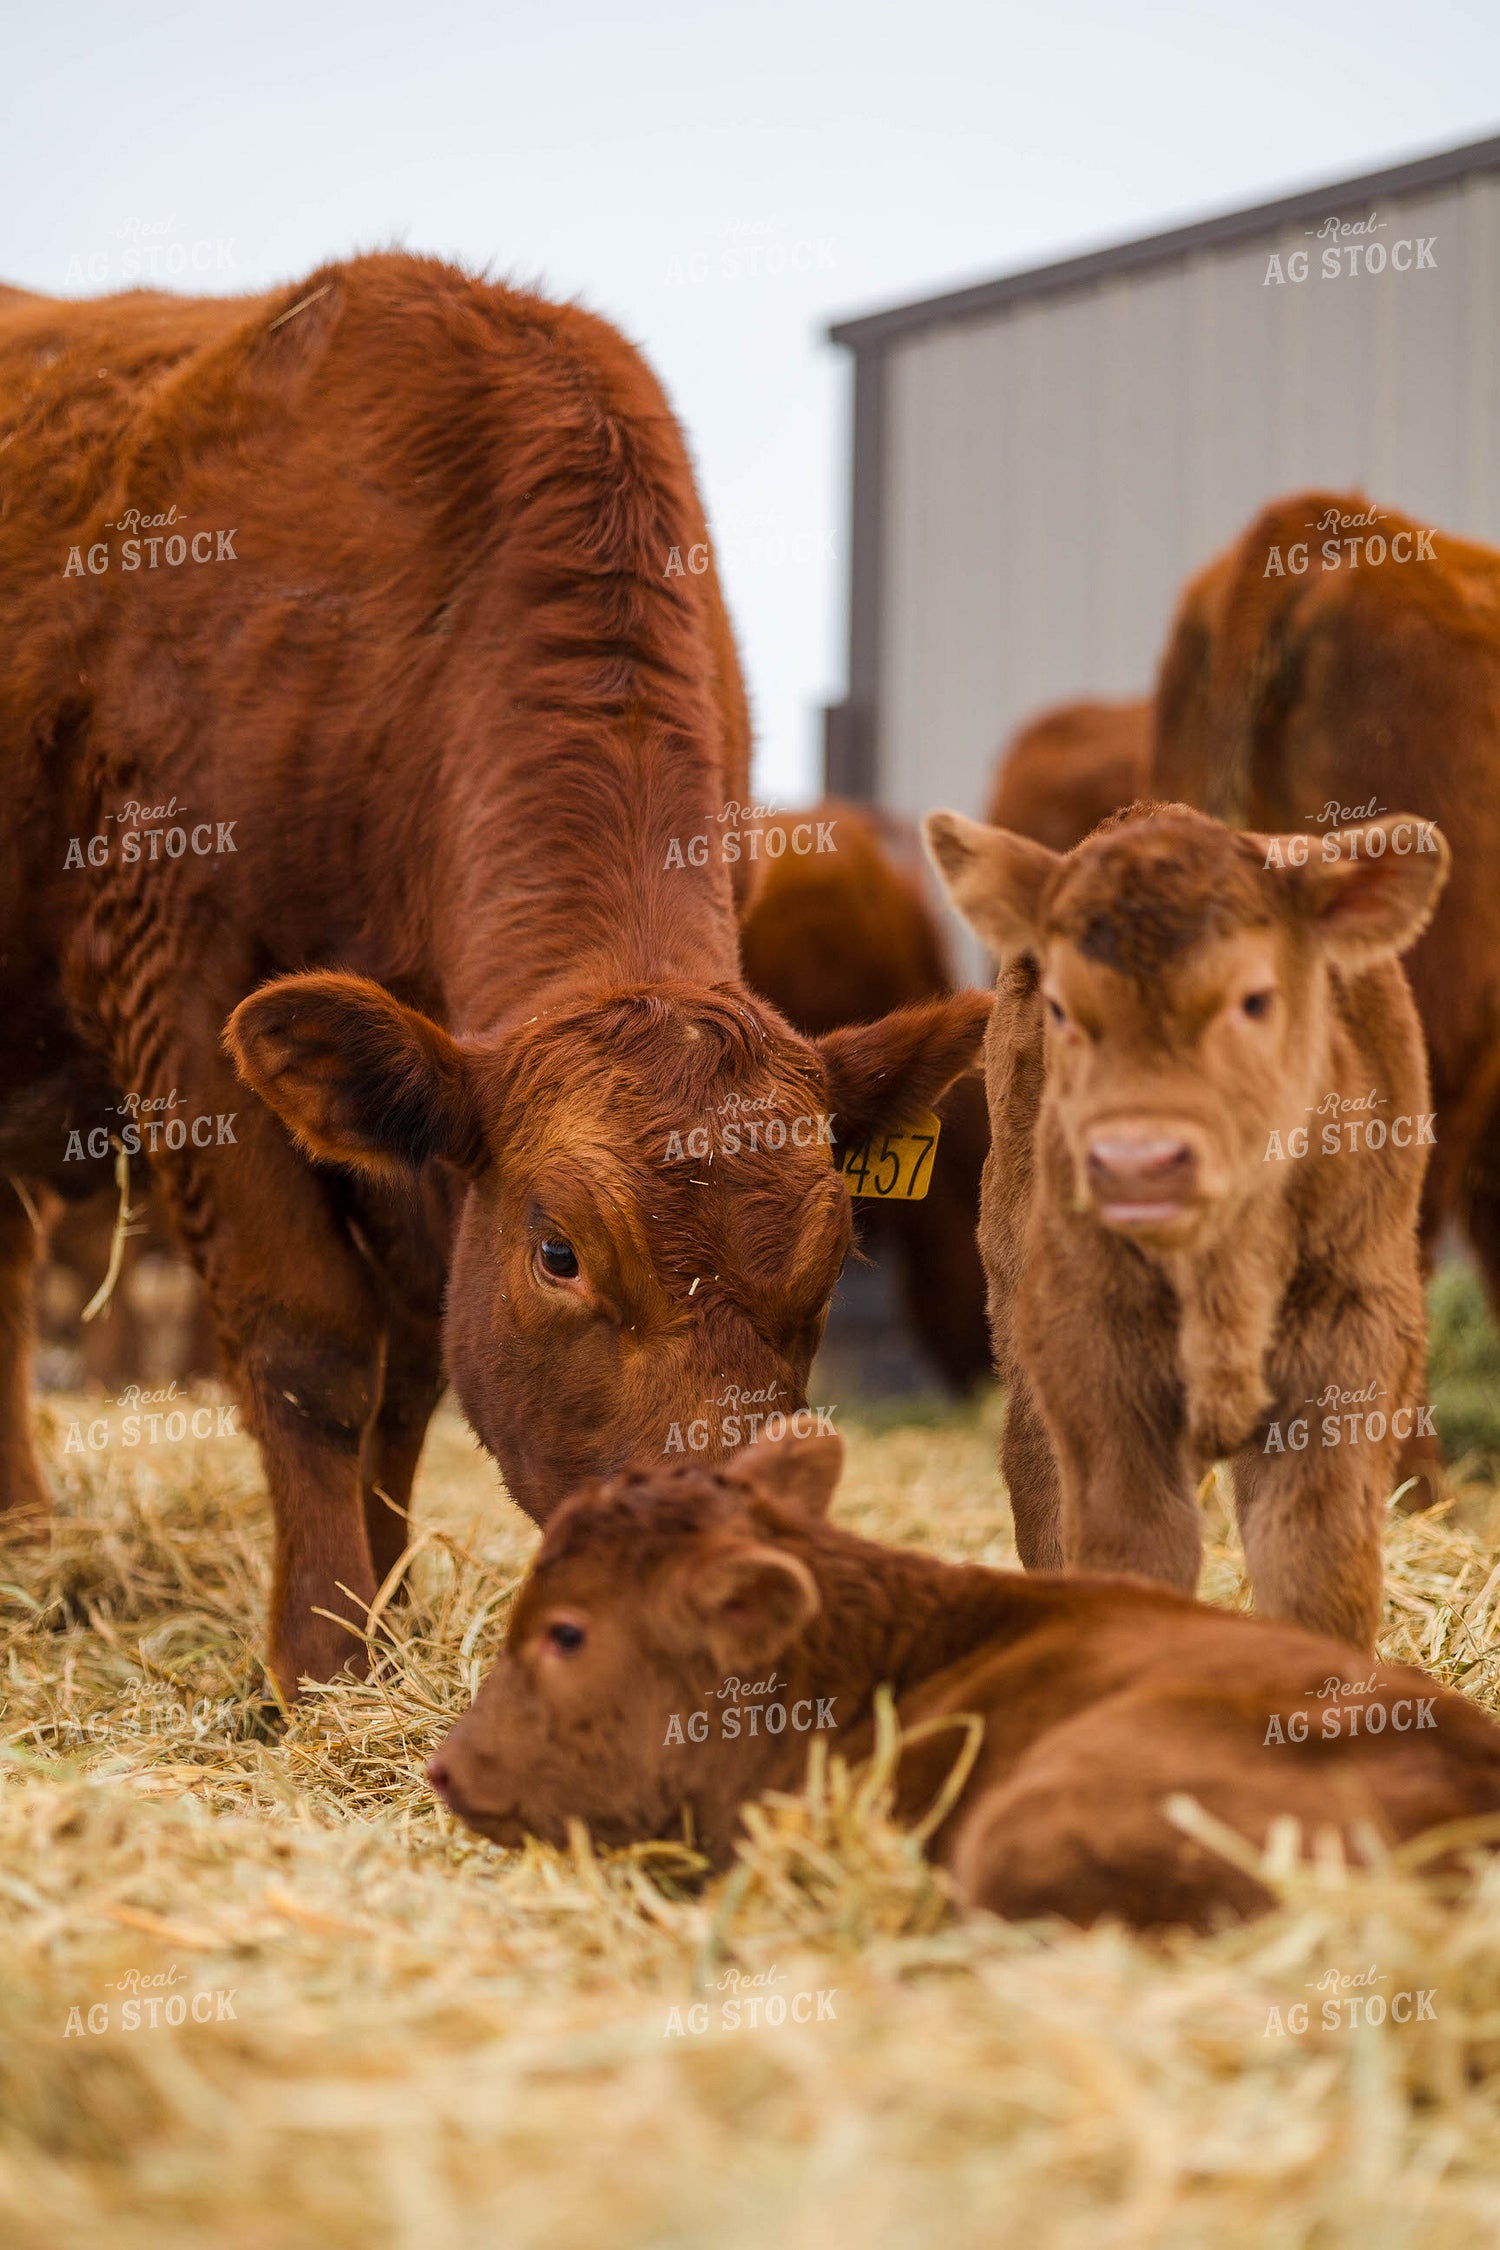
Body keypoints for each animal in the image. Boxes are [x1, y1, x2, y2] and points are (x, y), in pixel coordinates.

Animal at [923, 799, 1448, 1650]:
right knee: (1036, 1479)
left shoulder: (1355, 1334)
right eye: (1064, 1008)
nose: (1136, 1162)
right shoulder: (1086, 1340)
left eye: (1255, 1000)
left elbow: (1317, 1562)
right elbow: (1128, 1542)